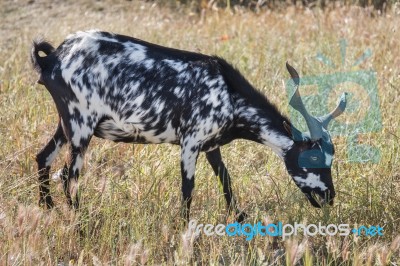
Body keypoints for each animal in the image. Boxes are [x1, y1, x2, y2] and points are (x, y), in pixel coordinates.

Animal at [31, 30, 346, 222]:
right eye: (313, 159)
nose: (328, 197)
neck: (228, 93)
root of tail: (53, 59)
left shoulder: (211, 146)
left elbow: (226, 180)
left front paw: (239, 219)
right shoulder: (190, 142)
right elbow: (187, 189)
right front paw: (183, 229)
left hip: (65, 125)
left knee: (43, 158)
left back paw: (48, 211)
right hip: (80, 125)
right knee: (69, 177)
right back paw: (81, 224)